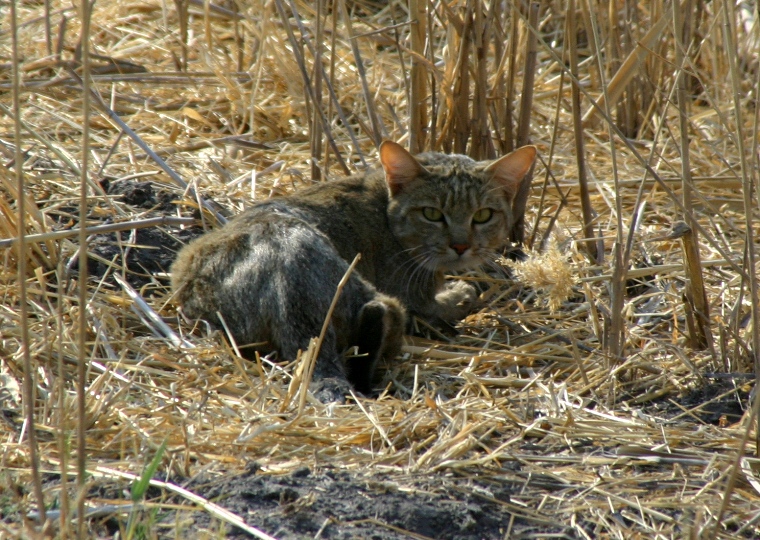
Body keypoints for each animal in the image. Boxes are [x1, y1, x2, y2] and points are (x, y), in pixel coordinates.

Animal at [171, 141, 540, 402]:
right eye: (432, 214)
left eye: (483, 215)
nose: (461, 246)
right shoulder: (416, 300)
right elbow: (442, 306)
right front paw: (462, 293)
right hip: (376, 297)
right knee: (383, 322)